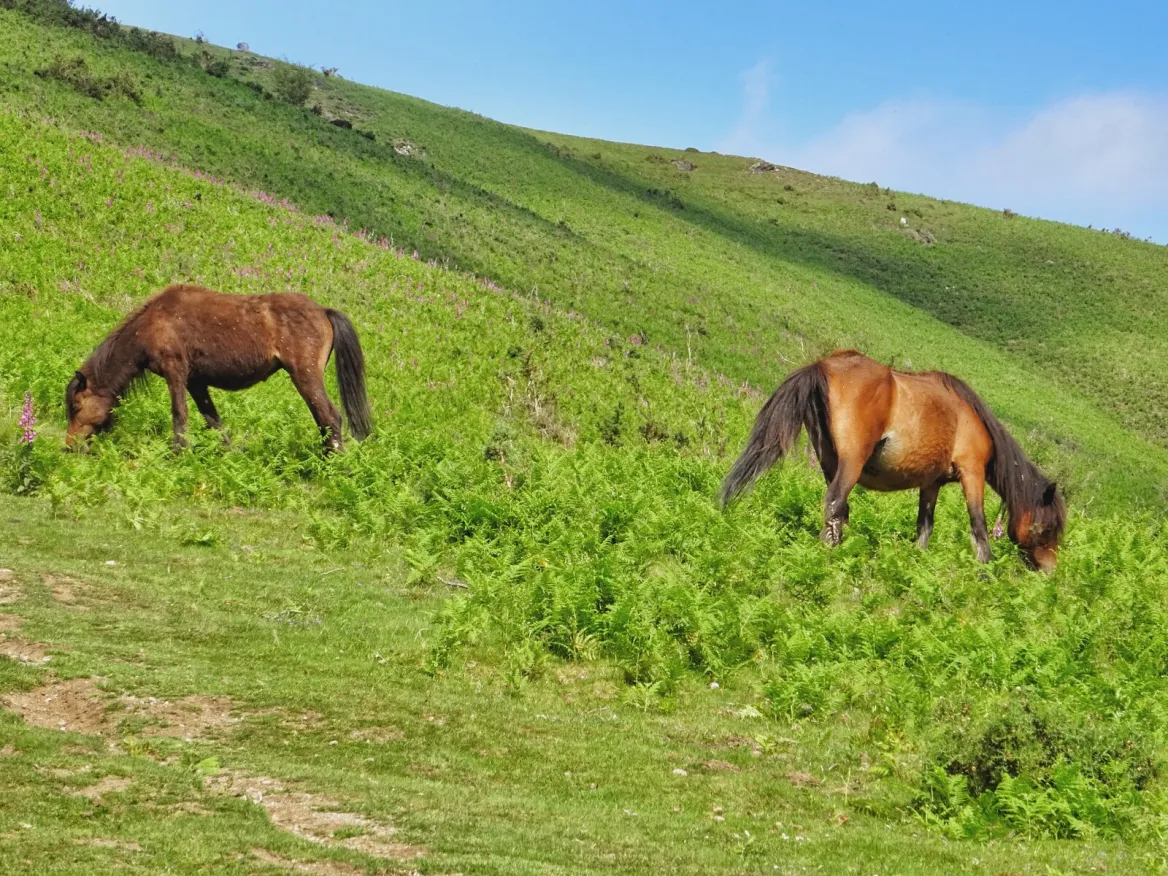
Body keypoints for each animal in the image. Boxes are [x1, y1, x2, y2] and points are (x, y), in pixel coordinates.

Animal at [65, 284, 372, 453]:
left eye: (77, 406)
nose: (69, 447)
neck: (152, 324)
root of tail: (323, 311)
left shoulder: (175, 371)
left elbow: (180, 414)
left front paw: (179, 453)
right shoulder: (195, 382)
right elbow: (212, 419)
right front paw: (229, 454)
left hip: (305, 375)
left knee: (330, 417)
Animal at [720, 350, 1066, 572]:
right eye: (1048, 527)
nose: (1050, 570)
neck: (970, 418)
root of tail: (825, 365)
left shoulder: (931, 484)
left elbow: (924, 528)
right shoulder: (972, 472)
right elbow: (979, 529)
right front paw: (984, 572)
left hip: (829, 461)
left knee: (839, 511)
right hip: (851, 463)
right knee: (834, 504)